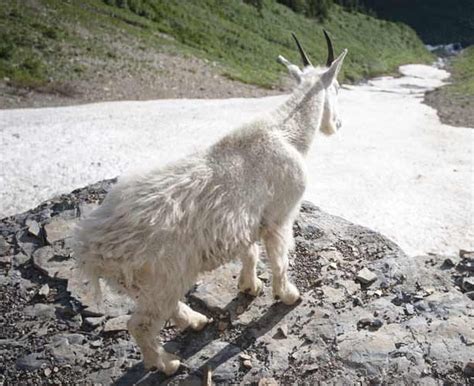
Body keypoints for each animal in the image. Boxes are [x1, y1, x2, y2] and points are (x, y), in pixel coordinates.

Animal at [75, 31, 348, 376]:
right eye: (336, 88)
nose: (337, 125)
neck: (286, 134)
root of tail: (91, 249)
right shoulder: (280, 214)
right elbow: (279, 256)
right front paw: (288, 295)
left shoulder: (246, 220)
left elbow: (250, 251)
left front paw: (249, 287)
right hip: (162, 275)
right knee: (140, 324)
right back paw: (166, 363)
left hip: (143, 284)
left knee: (164, 309)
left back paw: (195, 321)